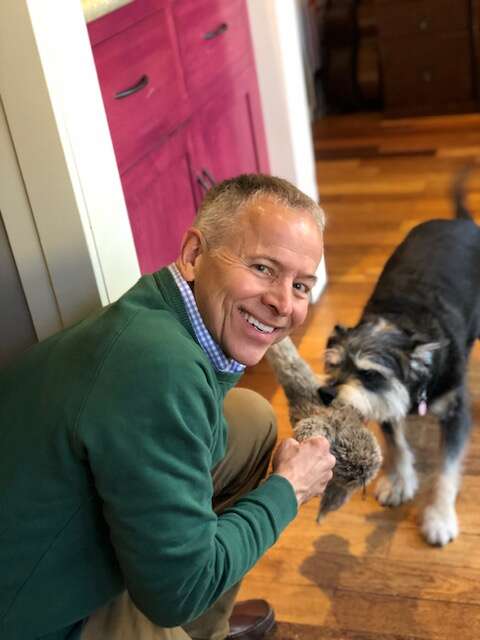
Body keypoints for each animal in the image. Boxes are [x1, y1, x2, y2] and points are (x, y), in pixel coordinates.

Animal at [318, 170, 480, 544]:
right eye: (333, 365)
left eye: (370, 374)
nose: (325, 393)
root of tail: (460, 222)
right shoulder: (386, 404)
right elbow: (397, 445)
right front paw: (399, 482)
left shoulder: (455, 414)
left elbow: (447, 469)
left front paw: (439, 518)